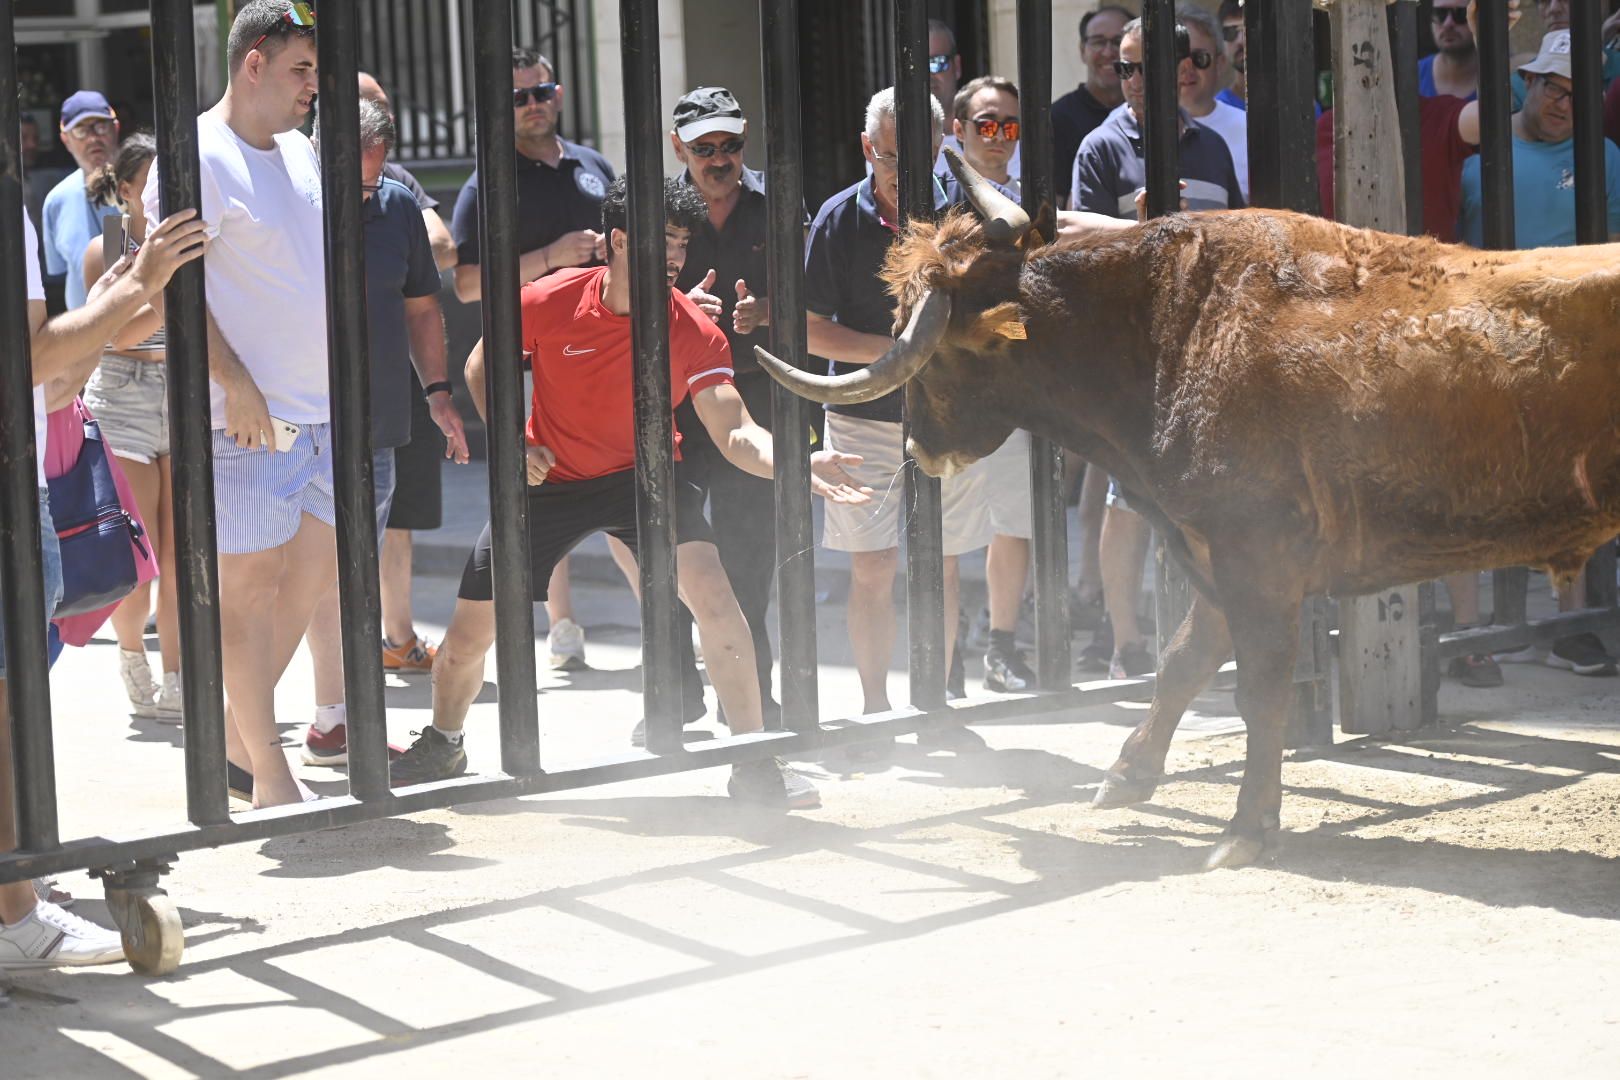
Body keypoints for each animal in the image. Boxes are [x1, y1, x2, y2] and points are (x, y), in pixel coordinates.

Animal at [754, 153, 1620, 867]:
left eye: (930, 357)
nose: (919, 448)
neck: (1171, 328)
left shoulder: (1253, 552)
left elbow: (1256, 687)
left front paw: (1246, 828)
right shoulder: (1214, 552)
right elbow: (1183, 659)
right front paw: (1128, 774)